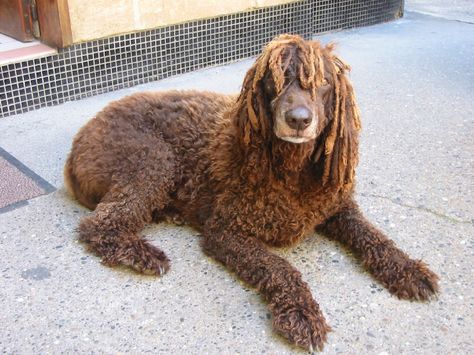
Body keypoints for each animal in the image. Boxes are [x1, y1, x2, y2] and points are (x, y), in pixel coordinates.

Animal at [65, 34, 438, 352]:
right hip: (150, 160)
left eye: (323, 84)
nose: (299, 119)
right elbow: (279, 267)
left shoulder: (338, 207)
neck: (291, 171)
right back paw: (142, 254)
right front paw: (302, 313)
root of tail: (78, 141)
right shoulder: (226, 231)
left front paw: (407, 268)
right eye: (277, 79)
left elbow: (373, 236)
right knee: (101, 224)